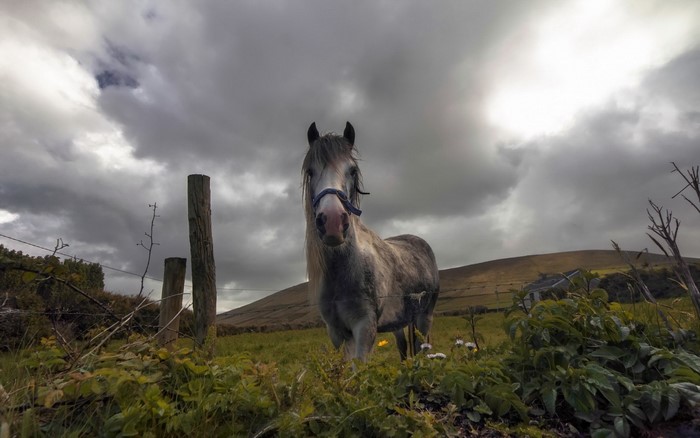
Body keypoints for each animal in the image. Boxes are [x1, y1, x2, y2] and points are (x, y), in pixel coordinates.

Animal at [302, 121, 440, 361]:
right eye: (310, 171)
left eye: (352, 170)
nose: (332, 221)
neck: (344, 269)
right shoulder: (337, 334)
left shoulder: (364, 328)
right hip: (399, 323)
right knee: (404, 348)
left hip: (425, 318)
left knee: (424, 346)